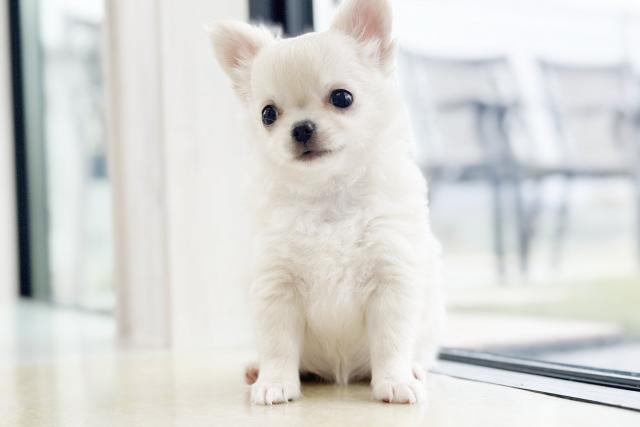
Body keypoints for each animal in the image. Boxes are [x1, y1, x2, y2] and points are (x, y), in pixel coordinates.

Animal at [209, 0, 445, 405]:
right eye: (268, 114)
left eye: (342, 98)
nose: (301, 128)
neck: (328, 197)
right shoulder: (275, 287)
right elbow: (277, 346)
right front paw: (274, 382)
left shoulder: (392, 280)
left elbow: (392, 341)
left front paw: (395, 380)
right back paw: (256, 369)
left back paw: (414, 369)